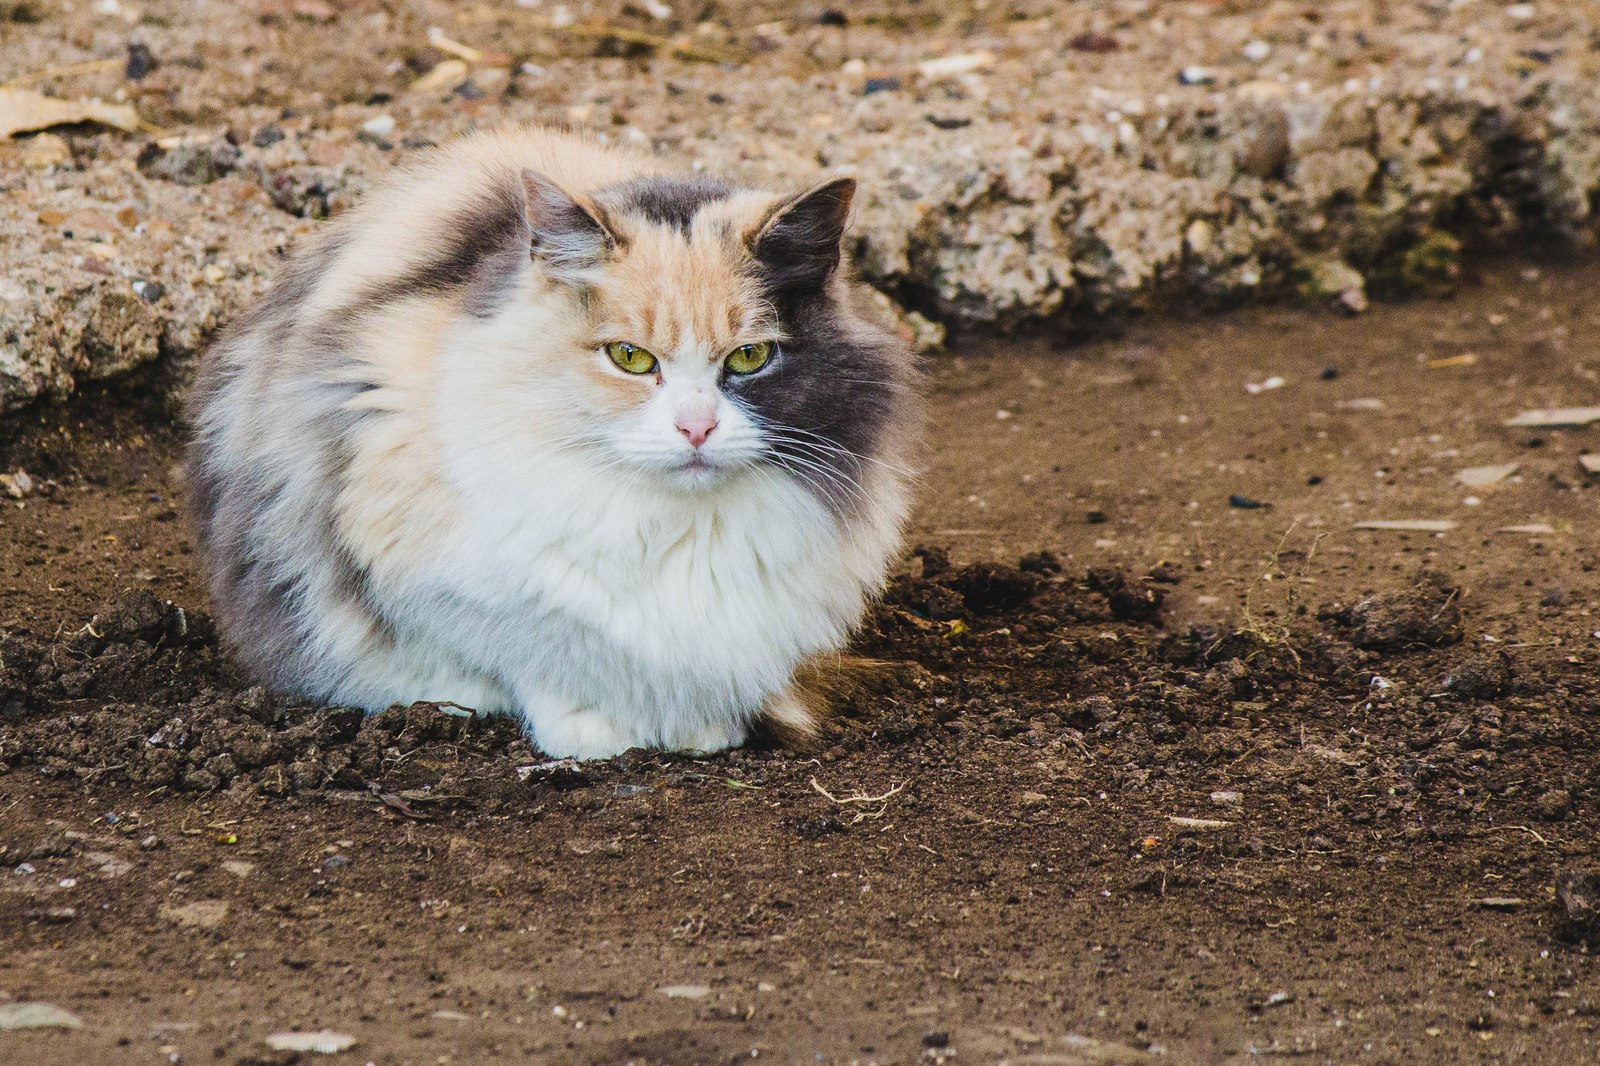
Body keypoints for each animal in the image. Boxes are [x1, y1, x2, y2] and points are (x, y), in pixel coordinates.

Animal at [183, 124, 921, 755]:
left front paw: (701, 733)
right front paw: (597, 736)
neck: (672, 527)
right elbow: (541, 659)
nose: (696, 428)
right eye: (629, 358)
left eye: (749, 358)